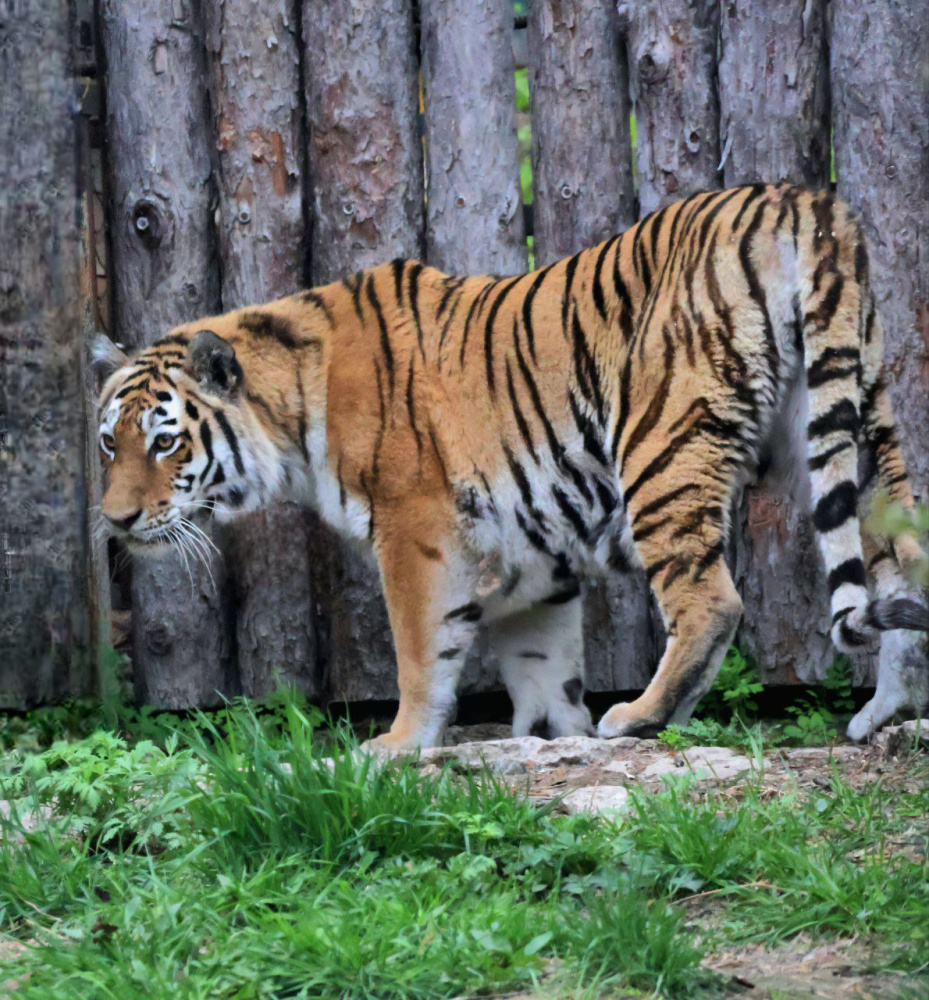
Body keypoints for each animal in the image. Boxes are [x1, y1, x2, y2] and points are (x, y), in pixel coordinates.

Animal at [94, 182, 928, 752]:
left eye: (164, 443)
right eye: (110, 443)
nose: (115, 520)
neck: (294, 409)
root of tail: (800, 201)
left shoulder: (417, 528)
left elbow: (420, 649)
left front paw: (397, 745)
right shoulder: (535, 555)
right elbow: (541, 661)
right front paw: (551, 735)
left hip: (662, 447)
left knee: (710, 600)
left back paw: (640, 716)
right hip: (846, 423)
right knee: (899, 568)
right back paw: (887, 712)